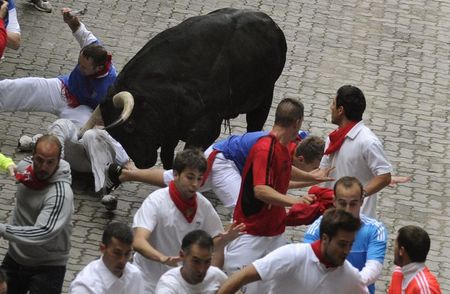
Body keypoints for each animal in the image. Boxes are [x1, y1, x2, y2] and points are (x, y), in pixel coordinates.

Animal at [100, 7, 286, 168]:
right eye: (115, 135)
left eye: (130, 125)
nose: (142, 163)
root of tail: (273, 26)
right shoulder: (170, 130)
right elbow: (167, 156)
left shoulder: (205, 128)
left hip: (265, 96)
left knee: (254, 126)